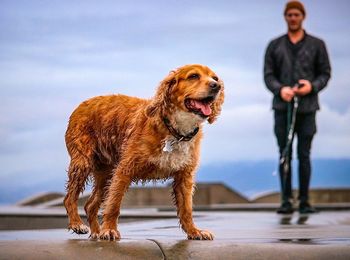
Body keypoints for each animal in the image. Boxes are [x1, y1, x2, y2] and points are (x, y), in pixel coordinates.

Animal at [63, 64, 224, 241]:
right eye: (193, 76)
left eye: (215, 78)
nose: (216, 86)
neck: (175, 131)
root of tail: (81, 105)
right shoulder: (124, 170)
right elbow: (114, 204)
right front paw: (110, 229)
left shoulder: (184, 177)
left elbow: (186, 209)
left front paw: (194, 231)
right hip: (82, 162)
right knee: (69, 198)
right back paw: (77, 224)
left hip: (105, 174)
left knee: (90, 205)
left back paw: (96, 232)